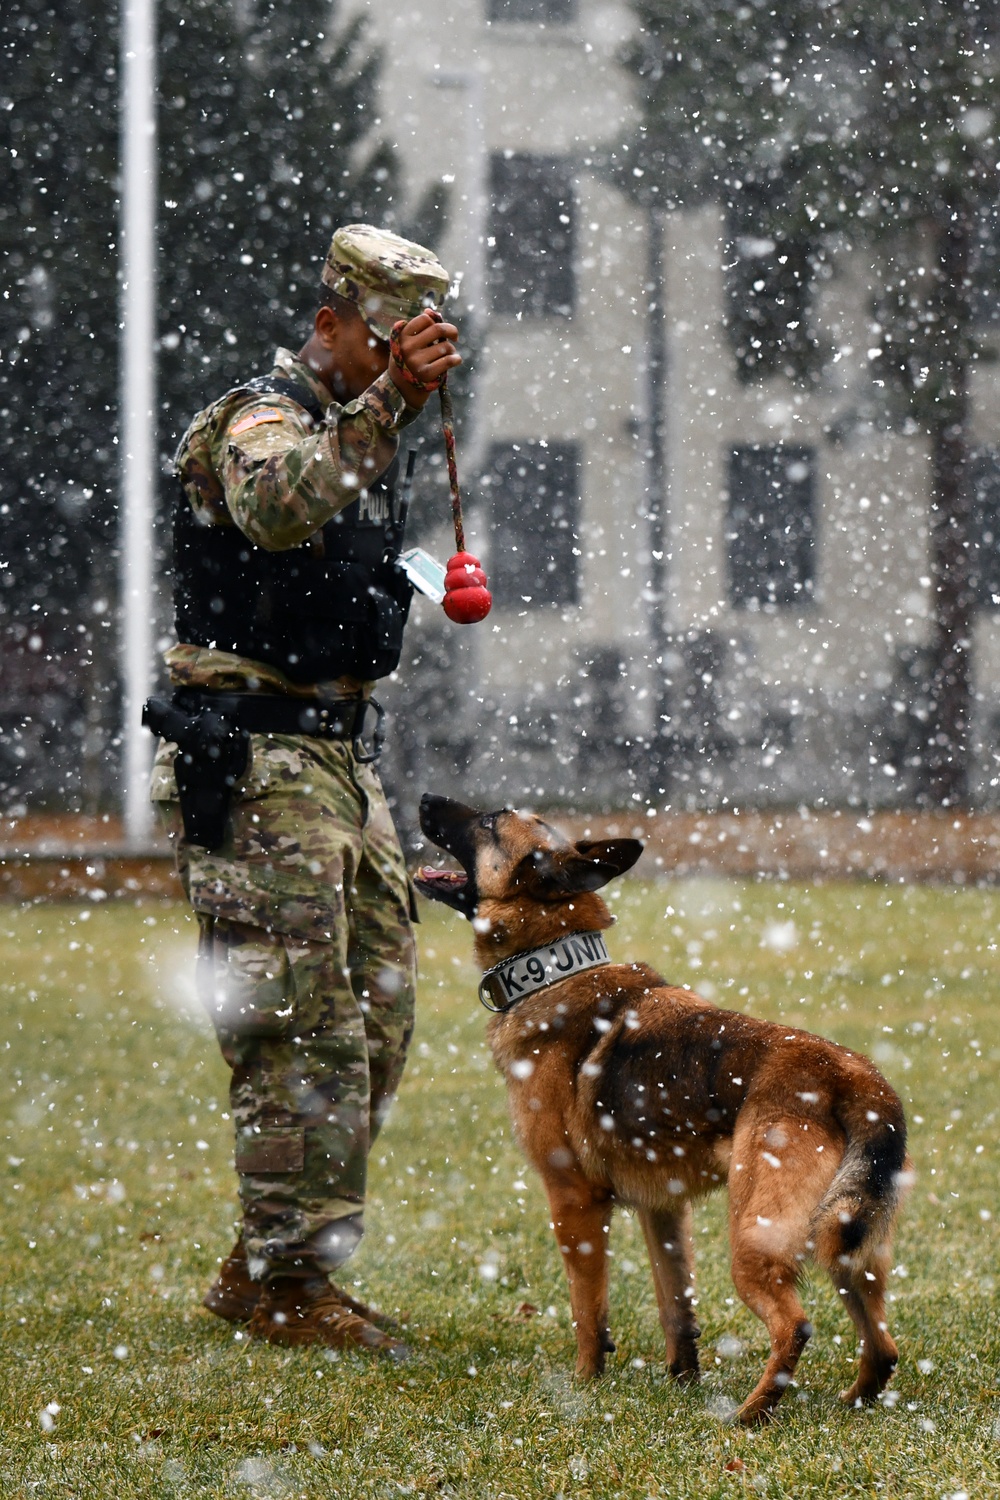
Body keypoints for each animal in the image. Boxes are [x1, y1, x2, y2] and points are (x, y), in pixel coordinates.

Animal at [413, 792, 917, 1422]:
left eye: (487, 821)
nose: (424, 798)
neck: (553, 965)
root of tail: (855, 1079)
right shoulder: (663, 1208)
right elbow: (675, 1304)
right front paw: (682, 1380)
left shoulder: (572, 1200)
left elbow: (587, 1308)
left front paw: (585, 1385)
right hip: (851, 1246)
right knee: (883, 1343)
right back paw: (852, 1401)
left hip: (754, 1240)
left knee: (796, 1325)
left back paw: (749, 1416)